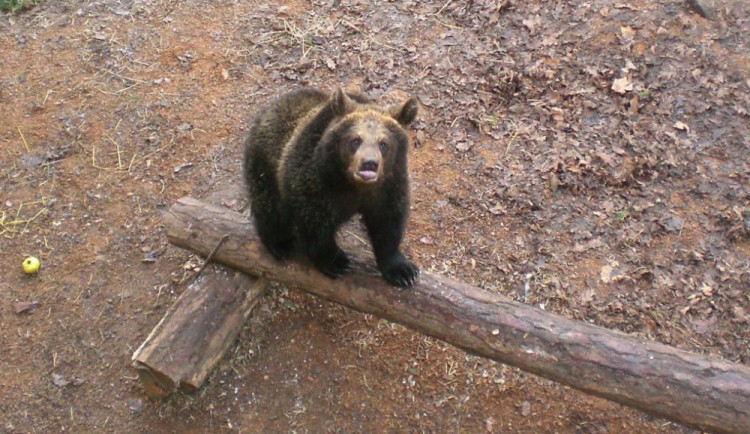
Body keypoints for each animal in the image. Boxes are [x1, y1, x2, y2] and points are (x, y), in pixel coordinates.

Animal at [247, 86, 424, 286]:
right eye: (356, 140)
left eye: (383, 143)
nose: (369, 164)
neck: (353, 184)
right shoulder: (316, 181)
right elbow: (315, 223)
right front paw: (336, 261)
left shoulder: (388, 186)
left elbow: (388, 222)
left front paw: (403, 270)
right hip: (266, 163)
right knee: (271, 207)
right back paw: (280, 243)